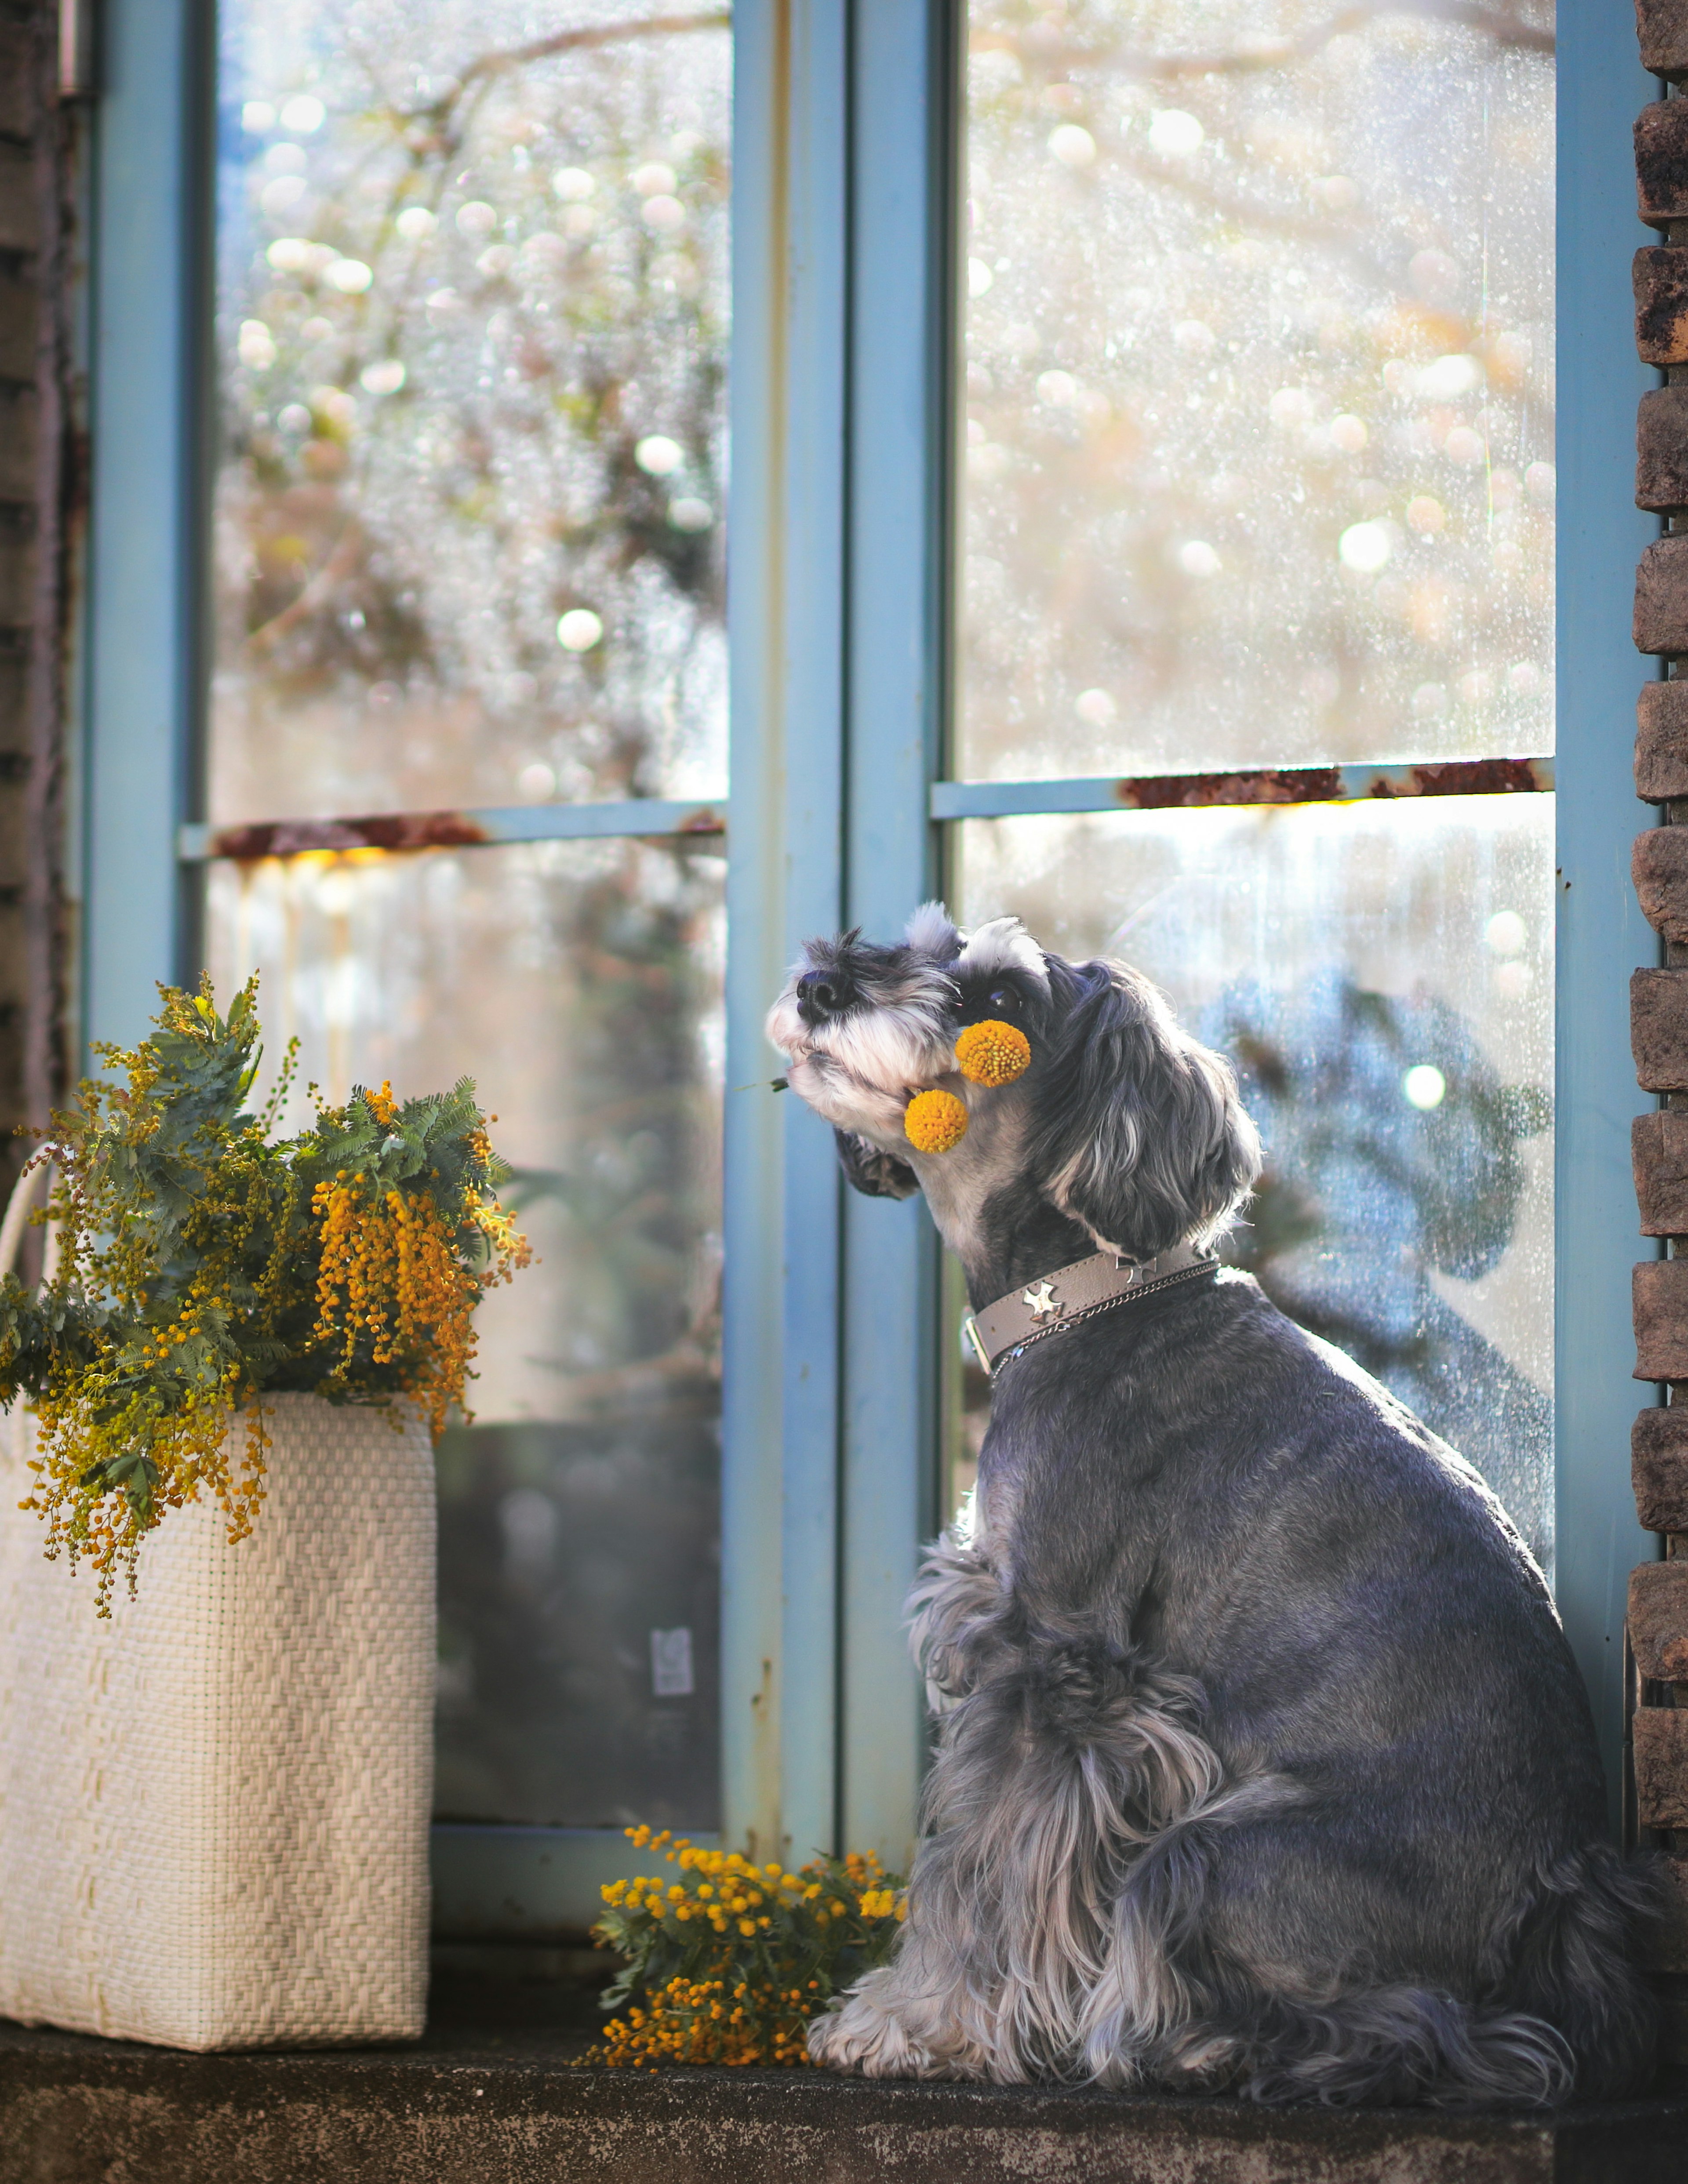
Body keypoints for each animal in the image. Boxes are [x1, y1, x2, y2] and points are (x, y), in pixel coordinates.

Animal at [768, 900, 1651, 2097]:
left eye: (998, 997)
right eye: (921, 942)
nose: (820, 986)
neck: (1084, 1295)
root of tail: (1563, 1885)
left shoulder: (1050, 1665)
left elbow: (982, 1871)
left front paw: (921, 2024)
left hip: (1207, 1850)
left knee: (1431, 2029)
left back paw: (1176, 2040)